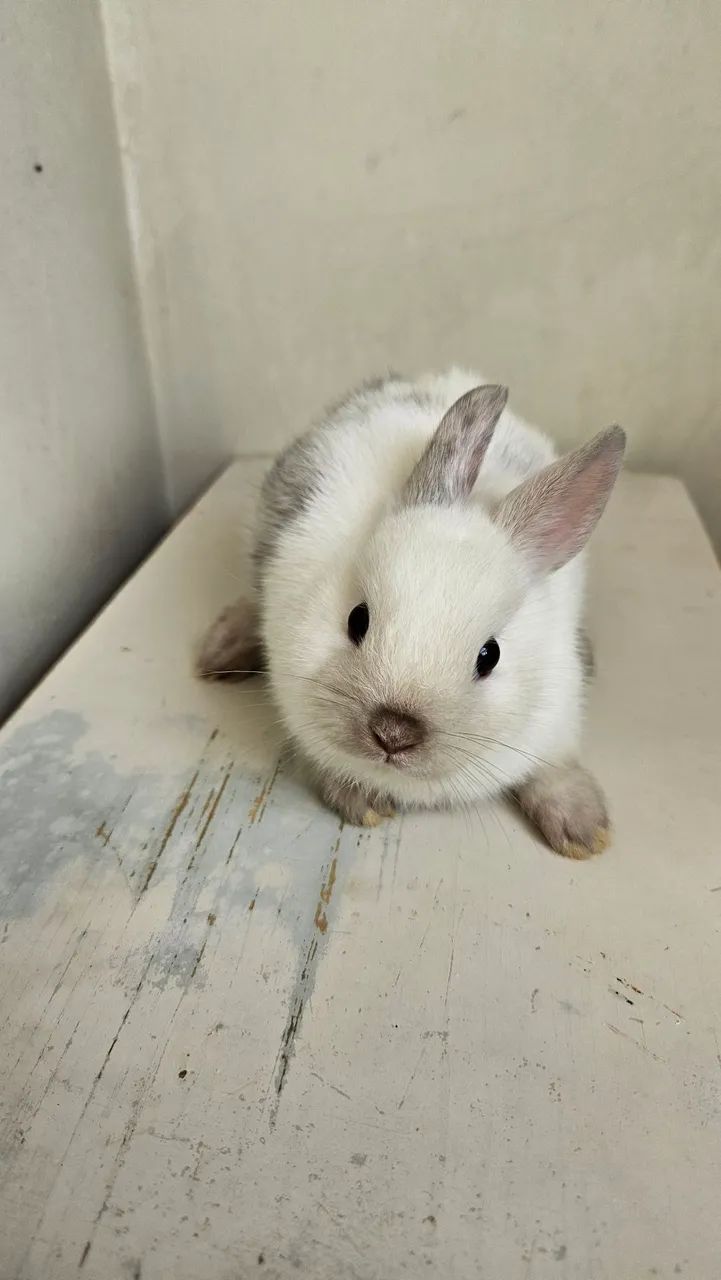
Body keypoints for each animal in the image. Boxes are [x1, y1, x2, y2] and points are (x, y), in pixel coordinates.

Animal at [198, 370, 625, 859]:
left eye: (490, 656)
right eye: (357, 619)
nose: (393, 734)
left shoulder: (555, 723)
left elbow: (555, 770)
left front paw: (584, 831)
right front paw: (362, 802)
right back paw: (220, 651)